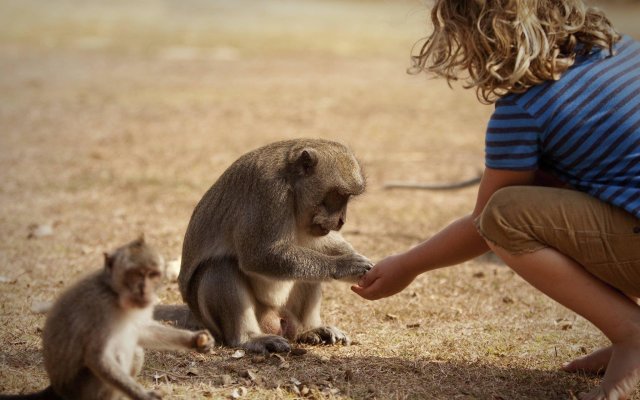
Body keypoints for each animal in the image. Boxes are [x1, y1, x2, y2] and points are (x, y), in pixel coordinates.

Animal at [5, 238, 214, 400]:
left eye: (152, 274)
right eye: (134, 274)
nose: (144, 290)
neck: (114, 294)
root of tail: (55, 389)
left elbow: (143, 331)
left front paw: (195, 339)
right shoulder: (100, 309)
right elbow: (98, 357)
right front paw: (143, 395)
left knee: (135, 350)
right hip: (81, 389)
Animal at [178, 138, 372, 354]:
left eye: (347, 197)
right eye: (338, 195)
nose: (341, 221)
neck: (292, 186)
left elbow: (319, 243)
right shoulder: (268, 193)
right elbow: (258, 255)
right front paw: (345, 266)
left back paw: (309, 329)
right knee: (220, 266)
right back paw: (249, 338)